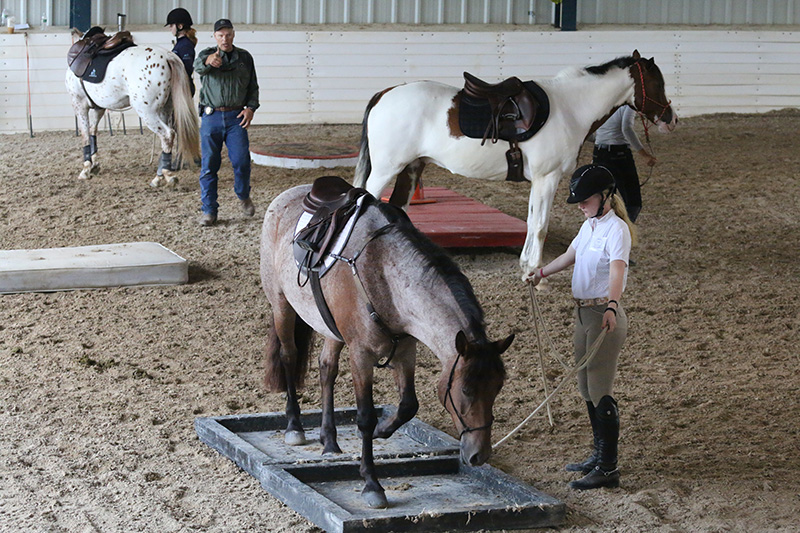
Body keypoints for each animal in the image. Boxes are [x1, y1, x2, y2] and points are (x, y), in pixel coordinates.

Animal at [260, 177, 516, 510]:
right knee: (289, 355)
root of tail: (287, 196)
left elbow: (408, 405)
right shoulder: (361, 355)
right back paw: (294, 426)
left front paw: (384, 430)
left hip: (330, 327)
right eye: (466, 391)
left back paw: (329, 439)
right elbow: (365, 417)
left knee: (327, 368)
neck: (382, 271)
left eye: (497, 389)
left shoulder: (406, 351)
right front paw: (372, 483)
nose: (479, 455)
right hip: (282, 305)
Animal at [354, 52, 676, 280]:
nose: (670, 118)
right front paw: (536, 273)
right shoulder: (548, 178)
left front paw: (525, 265)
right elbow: (541, 225)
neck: (571, 107)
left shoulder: (540, 181)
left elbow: (532, 222)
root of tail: (385, 94)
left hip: (410, 168)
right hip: (385, 170)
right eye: (657, 84)